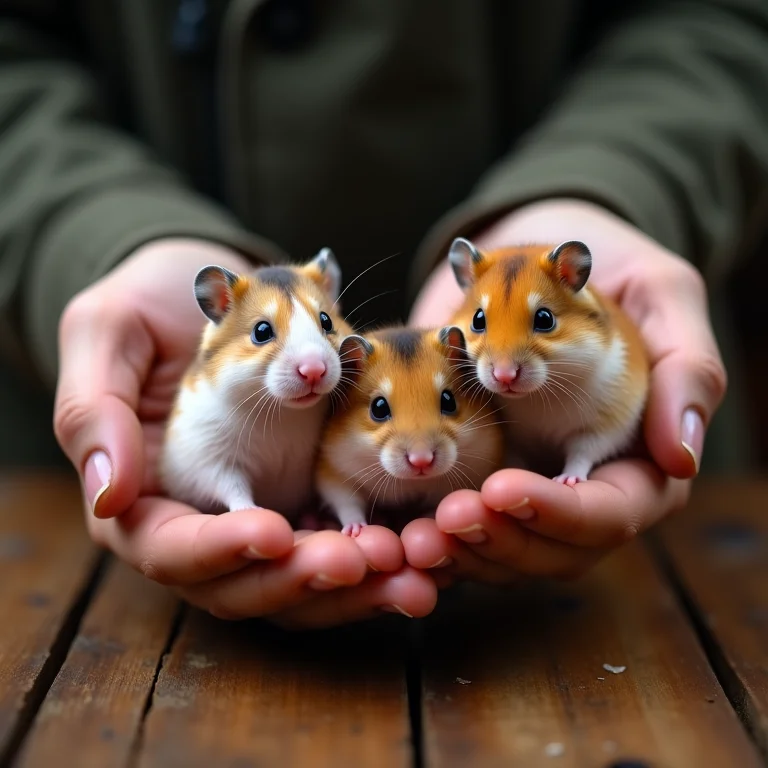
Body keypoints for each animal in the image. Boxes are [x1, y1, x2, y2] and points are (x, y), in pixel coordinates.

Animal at [160, 248, 351, 517]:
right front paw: (250, 511)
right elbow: (232, 485)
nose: (314, 371)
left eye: (327, 321)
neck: (284, 412)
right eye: (261, 332)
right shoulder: (211, 458)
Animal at [315, 325, 505, 536]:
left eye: (449, 401)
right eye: (378, 408)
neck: (412, 482)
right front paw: (356, 531)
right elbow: (348, 504)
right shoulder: (335, 475)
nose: (421, 461)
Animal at [448, 237, 649, 486]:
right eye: (478, 319)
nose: (504, 376)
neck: (535, 397)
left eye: (545, 319)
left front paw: (567, 480)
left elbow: (582, 453)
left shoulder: (605, 425)